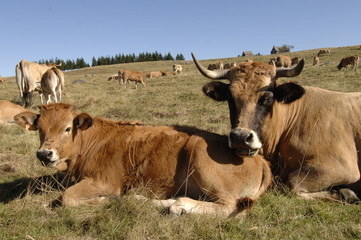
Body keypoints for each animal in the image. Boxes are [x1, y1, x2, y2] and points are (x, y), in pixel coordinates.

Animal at [15, 103, 272, 218]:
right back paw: (154, 202)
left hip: (201, 155)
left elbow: (66, 198)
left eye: (68, 128)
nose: (44, 154)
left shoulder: (105, 181)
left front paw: (104, 201)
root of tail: (260, 159)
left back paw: (180, 206)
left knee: (227, 206)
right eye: (40, 128)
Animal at [193, 52, 361, 202]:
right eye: (229, 97)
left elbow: (292, 183)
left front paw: (346, 193)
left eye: (267, 98)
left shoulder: (342, 167)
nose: (240, 138)